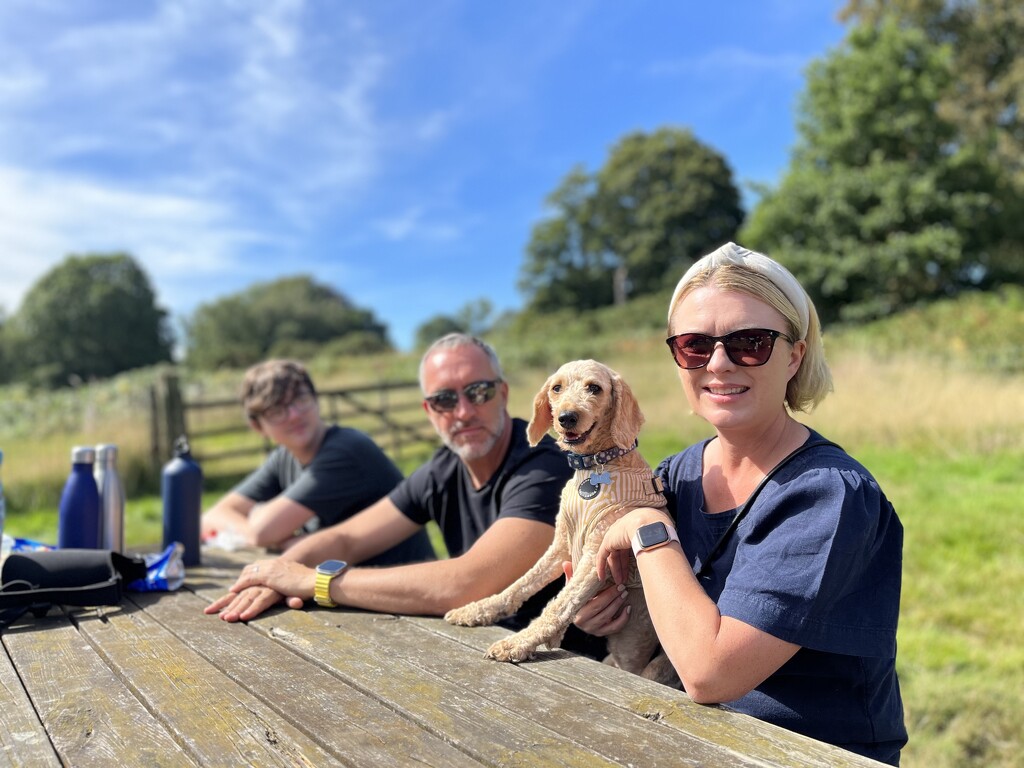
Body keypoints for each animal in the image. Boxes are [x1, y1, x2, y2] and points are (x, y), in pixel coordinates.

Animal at [444, 360, 675, 684]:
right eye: (556, 388)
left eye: (595, 388)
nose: (566, 417)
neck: (596, 465)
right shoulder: (561, 546)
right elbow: (520, 585)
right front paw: (477, 610)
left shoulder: (596, 553)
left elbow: (559, 605)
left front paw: (517, 644)